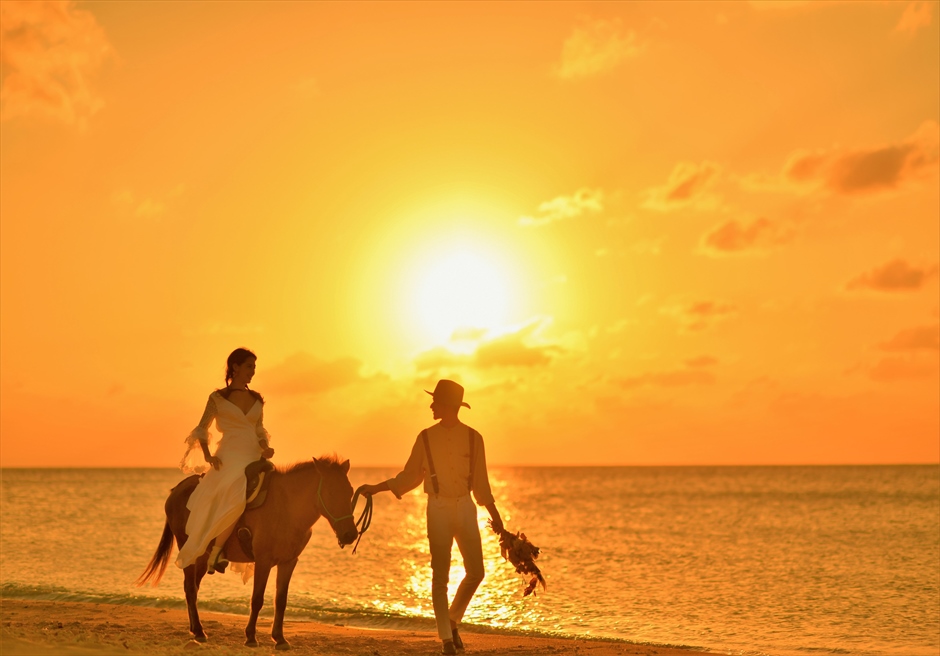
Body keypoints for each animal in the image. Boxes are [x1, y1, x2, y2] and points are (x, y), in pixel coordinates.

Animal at [136, 456, 360, 652]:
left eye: (350, 491)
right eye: (332, 492)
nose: (350, 534)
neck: (286, 508)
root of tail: (176, 491)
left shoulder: (288, 562)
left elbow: (281, 600)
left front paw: (280, 638)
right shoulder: (263, 561)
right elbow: (257, 599)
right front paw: (251, 637)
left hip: (202, 556)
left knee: (191, 588)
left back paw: (195, 629)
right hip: (189, 549)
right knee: (191, 589)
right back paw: (199, 631)